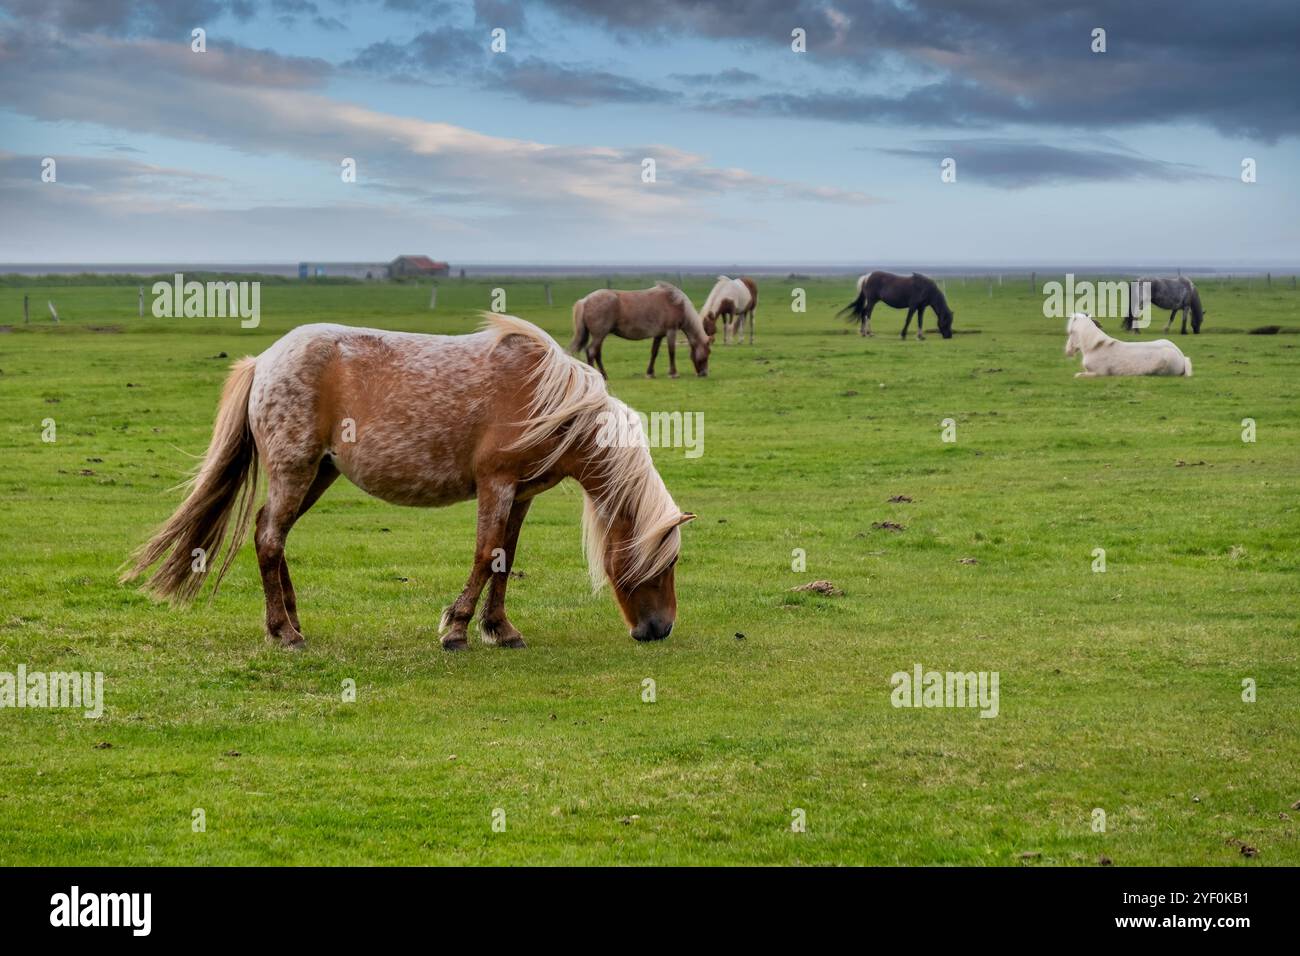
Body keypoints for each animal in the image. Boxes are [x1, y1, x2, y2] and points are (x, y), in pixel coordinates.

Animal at [122, 314, 696, 651]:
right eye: (664, 564)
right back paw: (284, 633)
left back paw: (292, 621)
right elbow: (486, 552)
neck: (551, 401)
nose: (660, 629)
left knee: (274, 535)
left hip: (318, 474)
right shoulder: (496, 485)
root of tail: (263, 362)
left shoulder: (522, 494)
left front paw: (500, 628)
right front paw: (457, 628)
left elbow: (505, 558)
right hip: (294, 470)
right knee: (267, 538)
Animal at [569, 282, 710, 379]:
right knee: (591, 351)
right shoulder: (671, 331)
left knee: (597, 353)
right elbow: (671, 352)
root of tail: (585, 300)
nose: (704, 373)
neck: (676, 303)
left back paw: (604, 375)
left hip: (600, 336)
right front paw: (673, 373)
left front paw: (650, 373)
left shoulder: (659, 335)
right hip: (599, 335)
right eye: (708, 353)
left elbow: (654, 352)